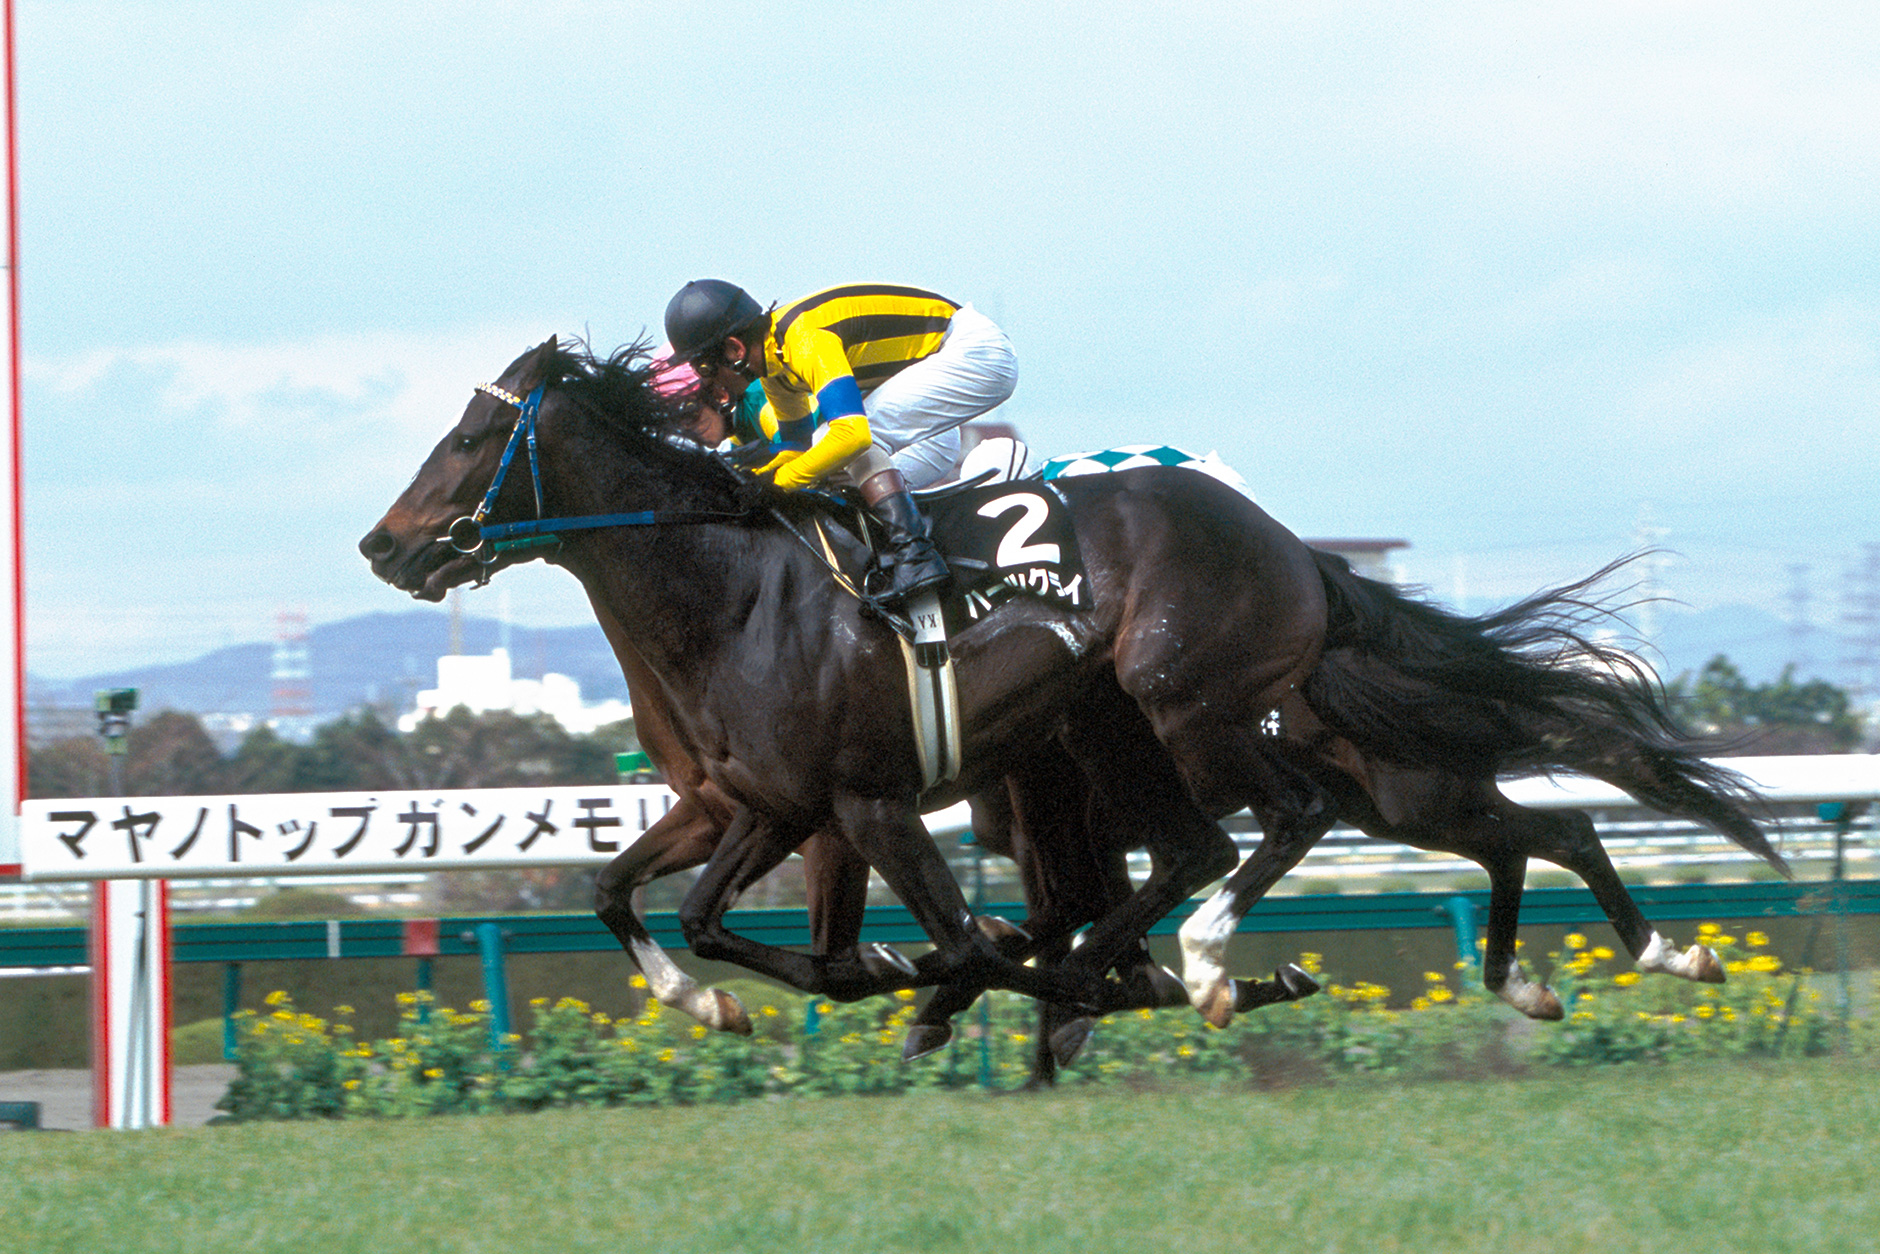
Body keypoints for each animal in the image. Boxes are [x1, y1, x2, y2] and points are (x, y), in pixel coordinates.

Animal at [360, 337, 1332, 1014]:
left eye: (469, 438)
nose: (382, 545)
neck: (734, 597)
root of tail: (1288, 541)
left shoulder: (866, 804)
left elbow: (962, 950)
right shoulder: (761, 802)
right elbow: (657, 904)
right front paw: (713, 1004)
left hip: (1187, 704)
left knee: (1293, 813)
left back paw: (1206, 966)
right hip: (1108, 729)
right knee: (1194, 849)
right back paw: (1204, 975)